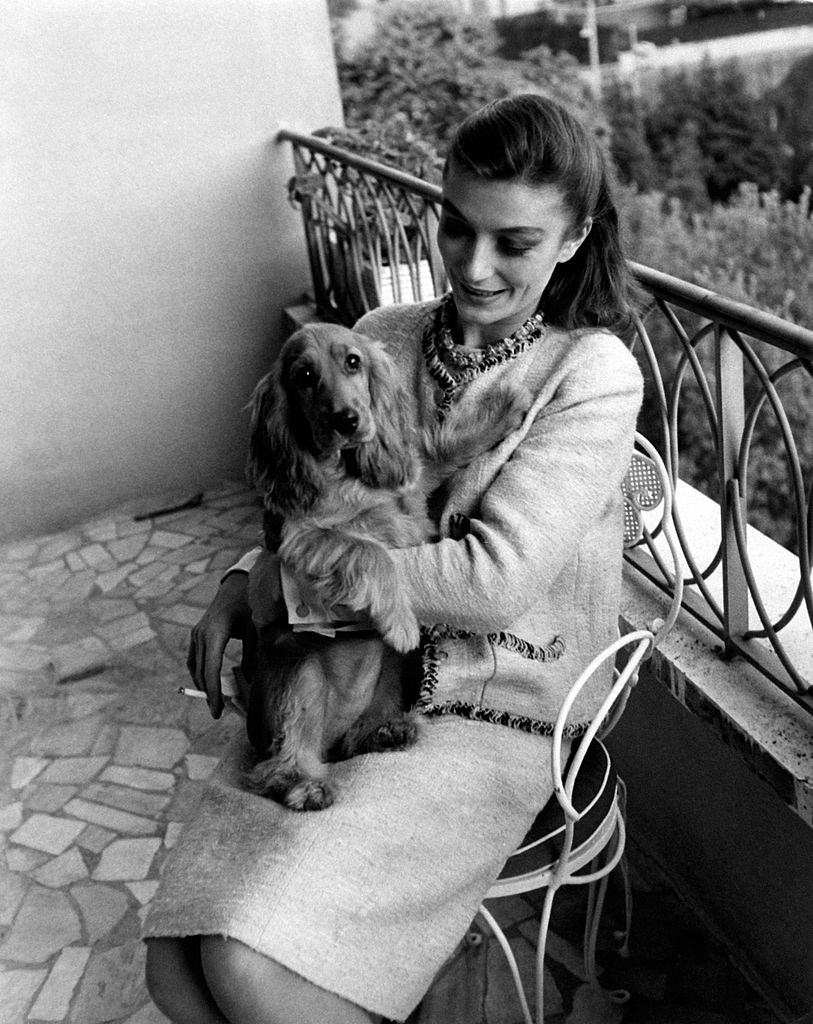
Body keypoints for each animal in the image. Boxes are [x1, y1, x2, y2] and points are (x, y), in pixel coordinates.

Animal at [243, 323, 528, 811]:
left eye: (353, 362)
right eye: (304, 376)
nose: (347, 420)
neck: (346, 473)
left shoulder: (409, 481)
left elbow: (440, 451)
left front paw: (504, 408)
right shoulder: (303, 538)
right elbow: (369, 552)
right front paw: (400, 621)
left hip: (389, 676)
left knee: (356, 737)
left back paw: (385, 729)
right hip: (299, 667)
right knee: (280, 759)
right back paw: (305, 782)